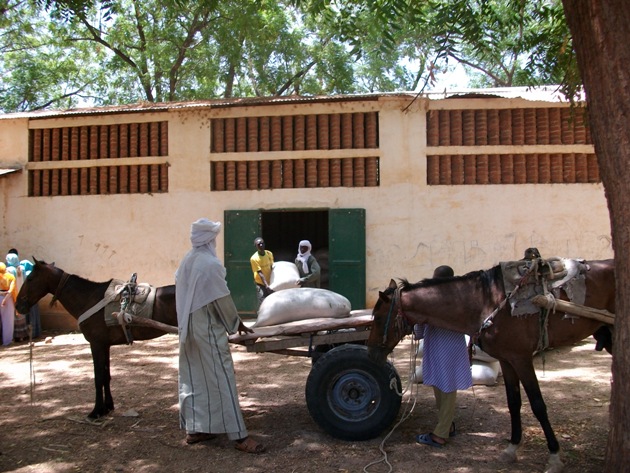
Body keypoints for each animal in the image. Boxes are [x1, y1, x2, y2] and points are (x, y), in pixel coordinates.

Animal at [15, 258, 178, 416]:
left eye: (30, 278)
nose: (18, 305)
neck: (88, 297)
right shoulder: (104, 345)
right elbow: (106, 375)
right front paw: (108, 406)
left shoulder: (96, 344)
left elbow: (98, 377)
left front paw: (96, 411)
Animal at [368, 258, 616, 472]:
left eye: (378, 318)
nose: (371, 354)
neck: (486, 301)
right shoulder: (507, 360)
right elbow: (513, 402)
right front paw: (512, 448)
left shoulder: (521, 359)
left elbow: (537, 405)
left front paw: (554, 457)